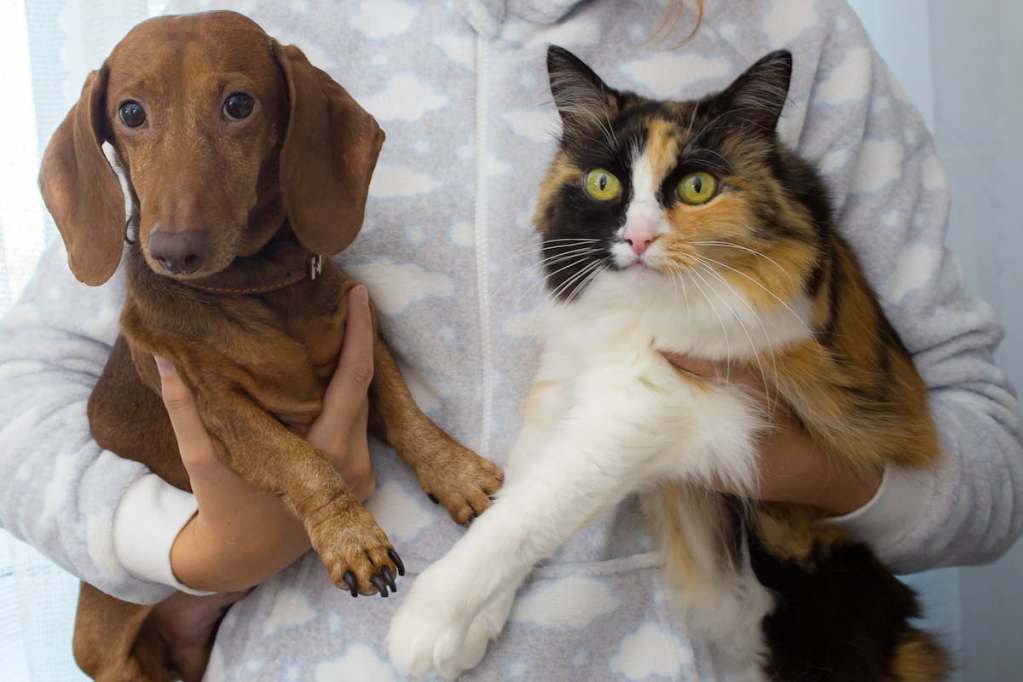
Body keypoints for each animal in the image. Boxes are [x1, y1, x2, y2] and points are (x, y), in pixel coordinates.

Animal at [39, 10, 503, 682]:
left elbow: (406, 411)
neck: (255, 287)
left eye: (239, 104)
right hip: (113, 656)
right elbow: (301, 460)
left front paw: (454, 471)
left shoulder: (363, 334)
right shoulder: (214, 404)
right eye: (130, 113)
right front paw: (351, 535)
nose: (174, 251)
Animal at [388, 45, 949, 678]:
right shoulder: (565, 380)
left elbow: (531, 511)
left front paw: (430, 622)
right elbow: (519, 491)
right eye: (603, 183)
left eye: (697, 187)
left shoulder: (656, 403)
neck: (633, 314)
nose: (638, 239)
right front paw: (473, 628)